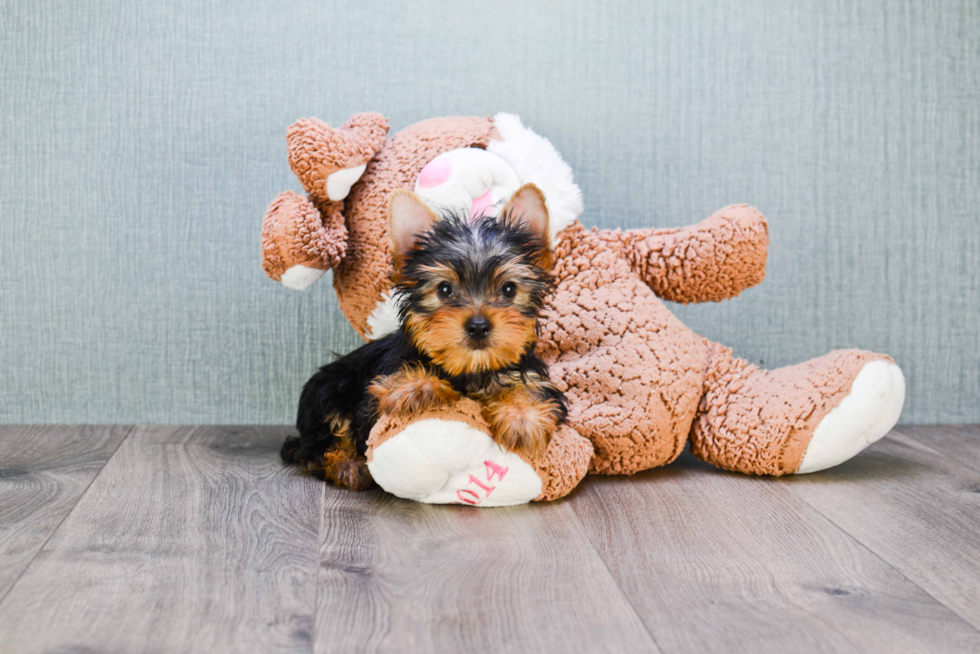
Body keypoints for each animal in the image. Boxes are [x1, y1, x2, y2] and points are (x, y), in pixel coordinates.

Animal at [280, 184, 568, 492]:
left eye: (509, 289)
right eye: (444, 290)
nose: (479, 326)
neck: (471, 368)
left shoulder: (530, 373)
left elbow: (530, 388)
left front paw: (522, 418)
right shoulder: (374, 395)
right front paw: (414, 387)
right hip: (327, 391)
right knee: (318, 444)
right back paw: (346, 466)